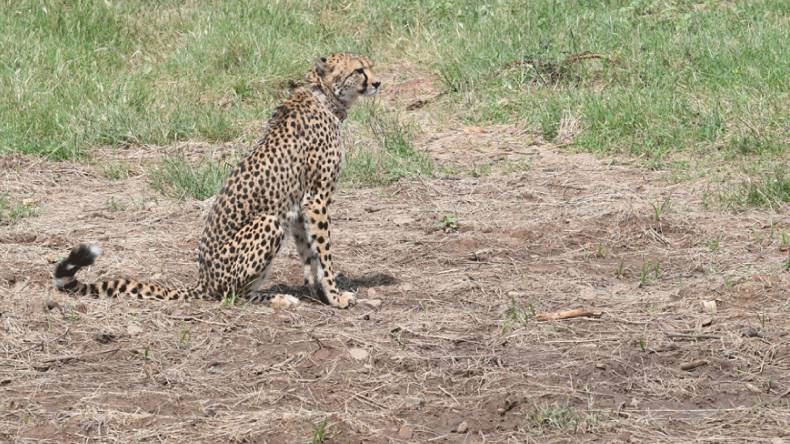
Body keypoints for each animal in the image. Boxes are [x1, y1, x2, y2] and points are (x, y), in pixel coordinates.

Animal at [50, 53, 384, 308]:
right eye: (359, 70)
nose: (378, 82)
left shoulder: (300, 206)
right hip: (268, 222)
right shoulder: (316, 199)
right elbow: (324, 253)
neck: (324, 96)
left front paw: (317, 291)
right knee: (232, 295)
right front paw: (336, 296)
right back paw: (277, 299)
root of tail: (203, 281)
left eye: (370, 65)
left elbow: (309, 253)